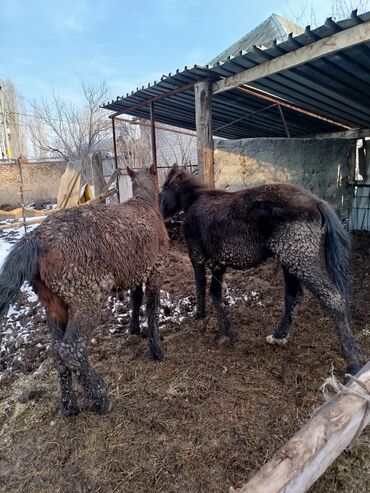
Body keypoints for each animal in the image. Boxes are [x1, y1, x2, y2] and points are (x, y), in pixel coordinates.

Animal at [0, 165, 168, 416]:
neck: (144, 203)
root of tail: (36, 238)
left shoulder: (136, 271)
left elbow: (136, 298)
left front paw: (134, 328)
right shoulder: (156, 268)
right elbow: (152, 307)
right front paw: (156, 349)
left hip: (53, 303)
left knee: (57, 352)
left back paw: (69, 405)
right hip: (86, 297)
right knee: (70, 348)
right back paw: (99, 395)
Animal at [160, 164, 362, 372]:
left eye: (163, 189)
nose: (160, 213)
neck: (194, 201)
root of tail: (316, 202)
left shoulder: (197, 254)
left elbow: (201, 286)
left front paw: (201, 317)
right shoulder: (219, 262)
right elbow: (215, 292)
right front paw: (224, 330)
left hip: (300, 259)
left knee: (332, 298)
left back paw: (353, 360)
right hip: (289, 260)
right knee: (293, 295)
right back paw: (279, 335)